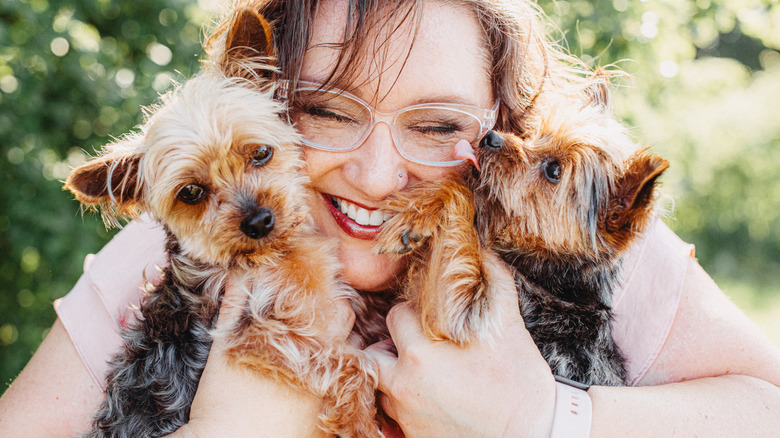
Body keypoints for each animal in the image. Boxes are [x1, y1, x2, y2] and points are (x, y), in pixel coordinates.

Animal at [66, 7, 380, 438]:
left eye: (261, 152)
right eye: (191, 192)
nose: (259, 221)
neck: (277, 256)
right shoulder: (257, 332)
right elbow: (350, 364)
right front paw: (361, 419)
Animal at [374, 75, 668, 386]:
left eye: (554, 170)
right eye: (532, 135)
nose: (491, 137)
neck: (551, 277)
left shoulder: (461, 312)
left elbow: (462, 190)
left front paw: (412, 217)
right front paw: (415, 210)